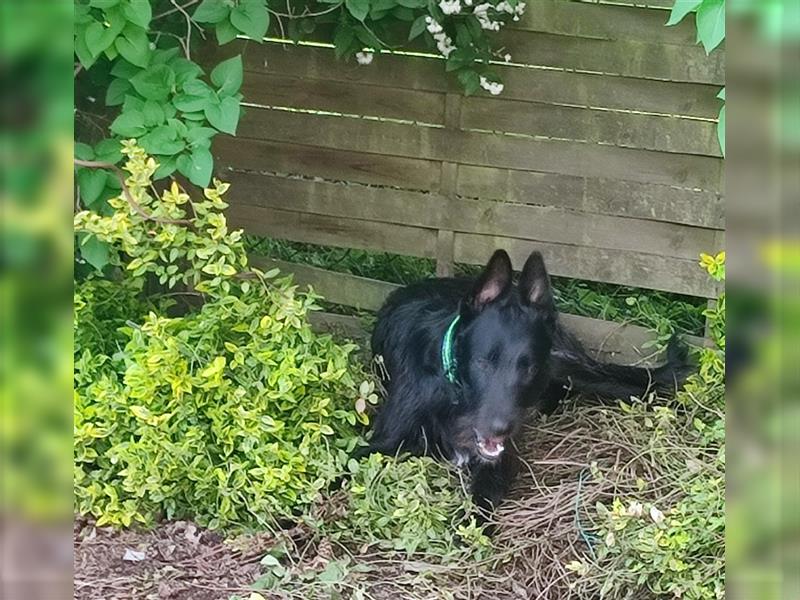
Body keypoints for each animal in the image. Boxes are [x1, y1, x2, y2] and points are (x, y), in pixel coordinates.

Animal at [362, 248, 688, 510]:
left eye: (527, 368)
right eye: (482, 362)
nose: (501, 429)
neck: (454, 393)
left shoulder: (499, 461)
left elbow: (480, 503)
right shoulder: (383, 442)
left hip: (566, 367)